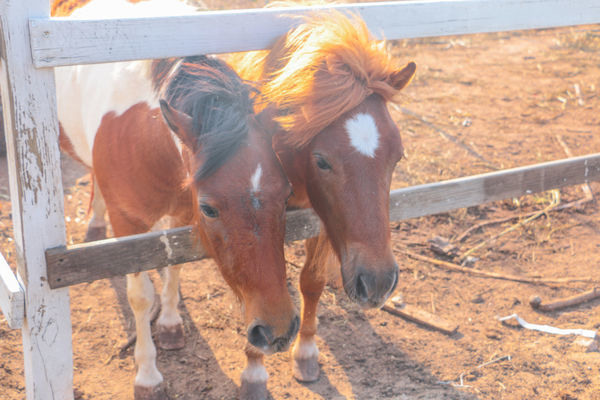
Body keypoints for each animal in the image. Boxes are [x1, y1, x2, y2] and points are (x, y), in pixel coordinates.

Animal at [231, 5, 418, 388]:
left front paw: (305, 352)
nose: (378, 281)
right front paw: (254, 367)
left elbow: (311, 282)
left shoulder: (319, 219)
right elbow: (255, 286)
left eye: (397, 156)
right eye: (321, 160)